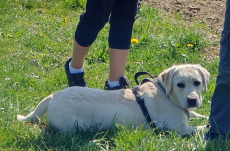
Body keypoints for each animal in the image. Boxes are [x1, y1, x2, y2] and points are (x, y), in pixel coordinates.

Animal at [17, 64, 209, 135]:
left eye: (197, 83)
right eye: (180, 85)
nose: (192, 100)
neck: (166, 94)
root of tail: (53, 96)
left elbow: (197, 116)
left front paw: (204, 115)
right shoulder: (179, 129)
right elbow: (201, 128)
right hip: (76, 126)